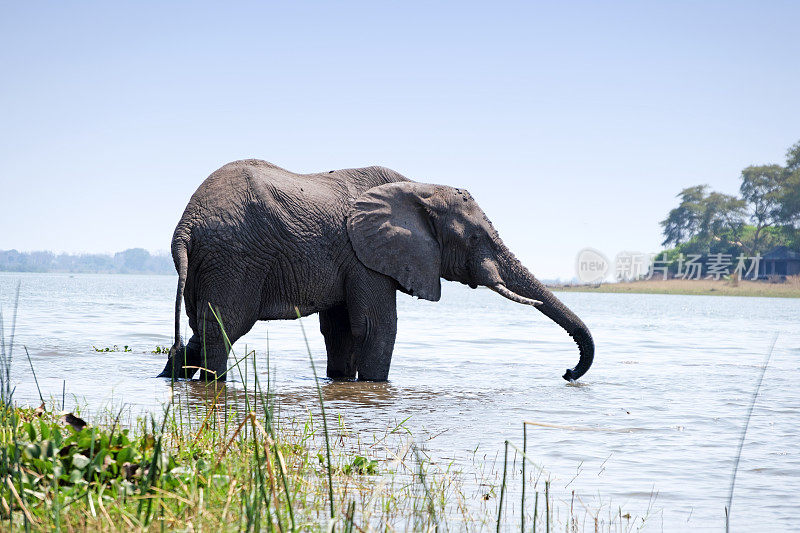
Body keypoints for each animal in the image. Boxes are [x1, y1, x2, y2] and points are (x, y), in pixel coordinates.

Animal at [158, 159, 592, 382]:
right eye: (475, 237)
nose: (568, 372)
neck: (419, 186)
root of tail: (186, 225)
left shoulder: (348, 258)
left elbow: (340, 330)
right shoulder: (363, 255)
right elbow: (376, 327)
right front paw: (373, 386)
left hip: (212, 263)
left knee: (199, 331)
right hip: (235, 257)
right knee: (223, 329)